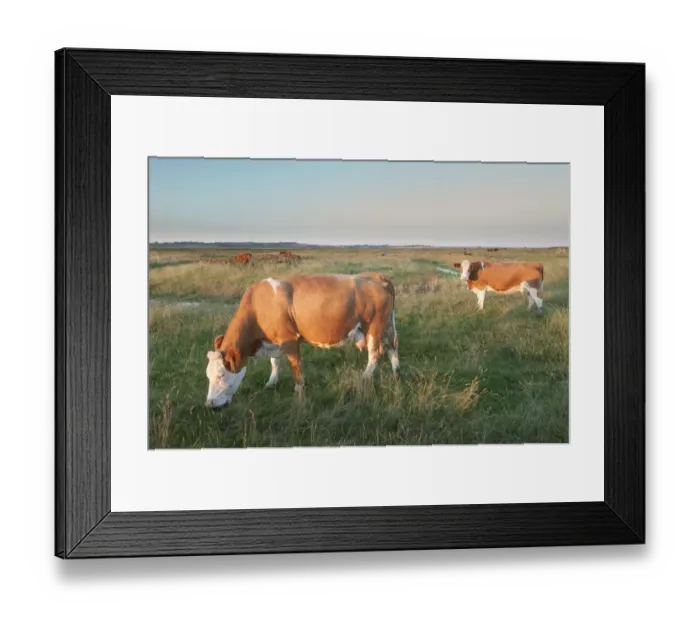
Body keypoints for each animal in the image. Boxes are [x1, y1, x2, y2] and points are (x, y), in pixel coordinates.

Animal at [204, 272, 399, 408]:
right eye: (207, 375)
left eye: (221, 375)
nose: (210, 404)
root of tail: (377, 276)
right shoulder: (274, 341)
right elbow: (275, 362)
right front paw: (271, 383)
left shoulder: (289, 339)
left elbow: (295, 365)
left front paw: (299, 391)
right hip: (388, 324)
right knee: (392, 347)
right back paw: (396, 374)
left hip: (374, 327)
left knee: (375, 353)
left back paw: (365, 378)